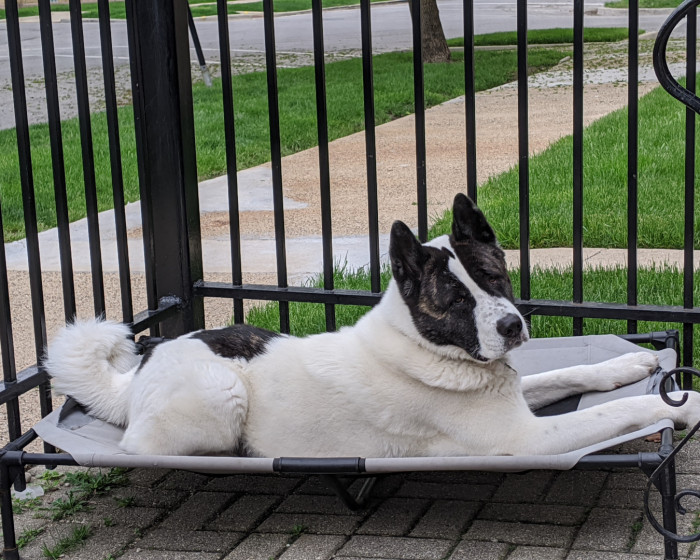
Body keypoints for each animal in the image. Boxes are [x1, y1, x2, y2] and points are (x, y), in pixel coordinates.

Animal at [45, 194, 700, 457]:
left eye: (494, 277)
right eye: (455, 300)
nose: (513, 328)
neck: (425, 346)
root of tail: (143, 367)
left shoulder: (516, 392)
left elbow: (568, 373)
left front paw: (634, 362)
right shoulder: (523, 440)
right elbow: (619, 409)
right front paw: (683, 405)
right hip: (221, 394)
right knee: (141, 444)